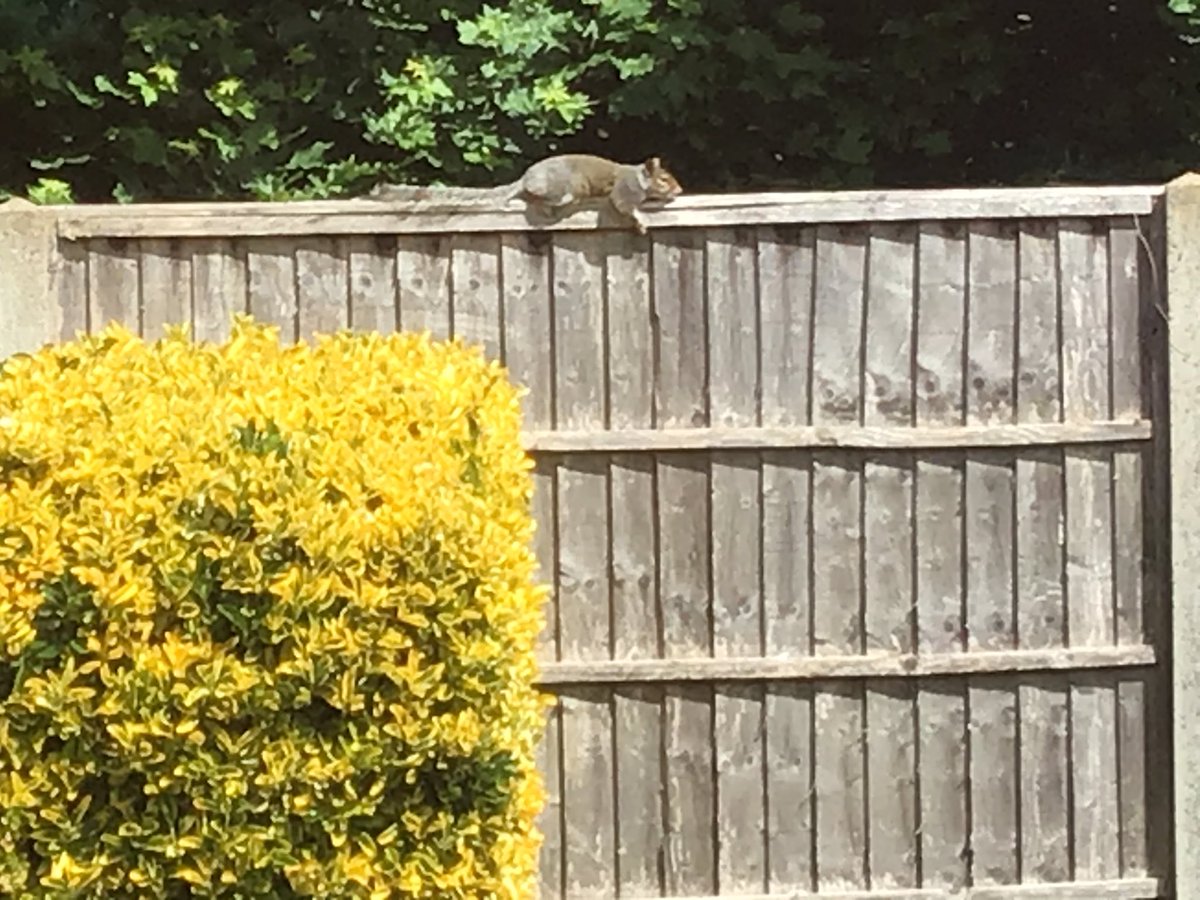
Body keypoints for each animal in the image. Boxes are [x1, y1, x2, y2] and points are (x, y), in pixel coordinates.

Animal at [367, 154, 683, 234]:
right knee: (535, 196)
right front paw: (641, 222)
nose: (679, 190)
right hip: (562, 191)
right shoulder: (625, 191)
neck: (638, 177)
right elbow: (624, 206)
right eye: (664, 179)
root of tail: (525, 177)